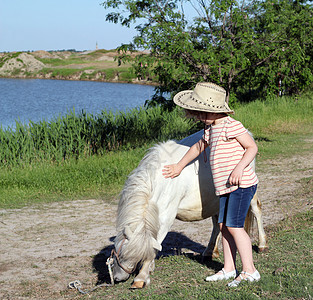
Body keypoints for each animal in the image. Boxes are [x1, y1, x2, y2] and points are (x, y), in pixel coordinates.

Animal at [111, 131, 266, 288]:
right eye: (117, 250)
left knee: (256, 210)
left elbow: (156, 242)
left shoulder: (166, 216)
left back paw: (262, 244)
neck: (160, 179)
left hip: (248, 193)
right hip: (215, 199)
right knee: (217, 223)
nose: (117, 277)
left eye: (125, 254)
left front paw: (141, 276)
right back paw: (210, 251)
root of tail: (249, 134)